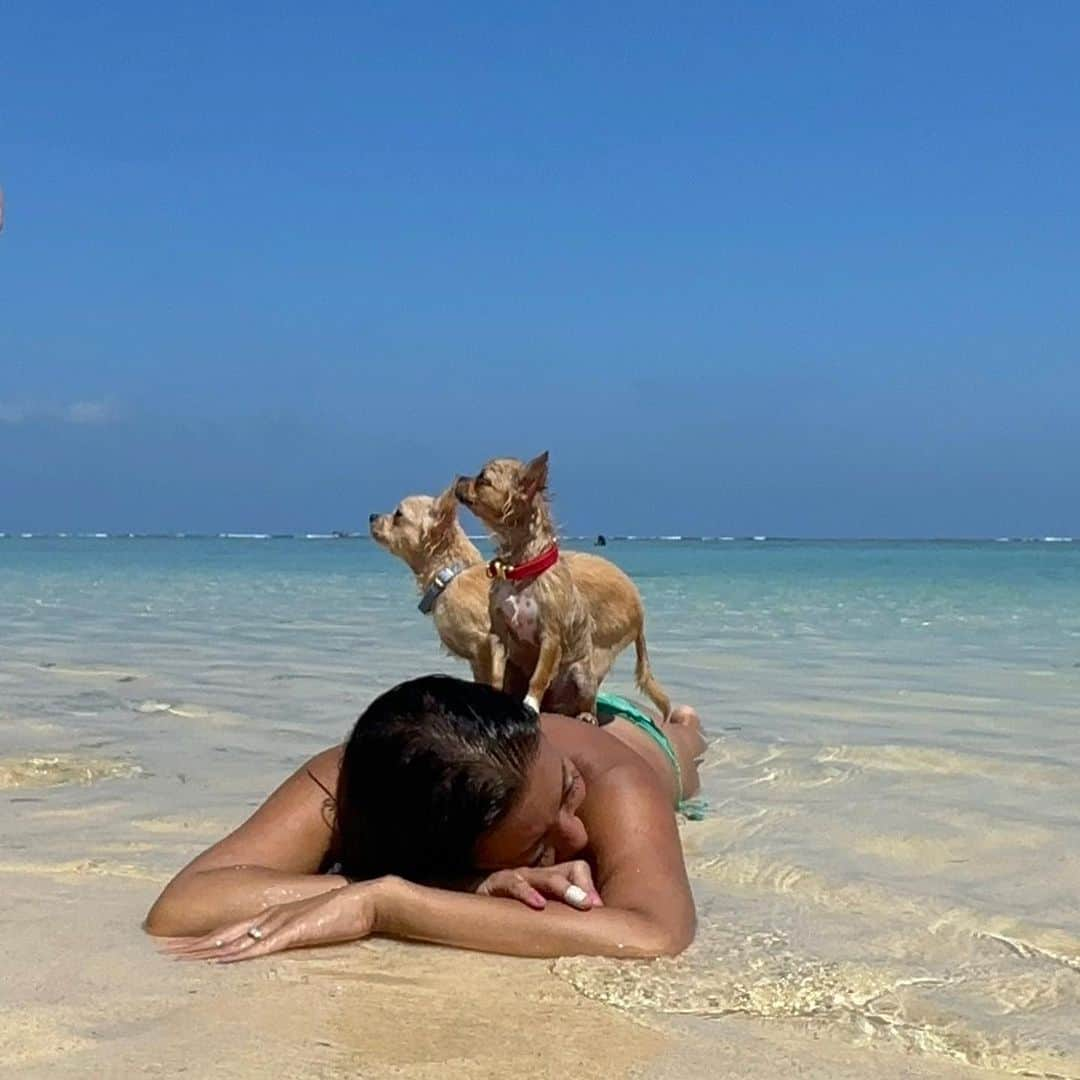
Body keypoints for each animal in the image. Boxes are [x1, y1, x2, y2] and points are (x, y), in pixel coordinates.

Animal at [371, 488, 665, 717]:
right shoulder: (480, 658)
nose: (372, 515)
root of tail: (639, 607)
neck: (450, 575)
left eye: (398, 515)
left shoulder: (489, 645)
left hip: (591, 653)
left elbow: (493, 681)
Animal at [451, 451, 669, 721]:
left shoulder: (550, 638)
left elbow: (539, 677)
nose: (458, 477)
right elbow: (497, 677)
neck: (520, 568)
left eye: (483, 479)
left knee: (588, 703)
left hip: (582, 674)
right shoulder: (500, 637)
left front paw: (530, 705)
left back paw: (585, 715)